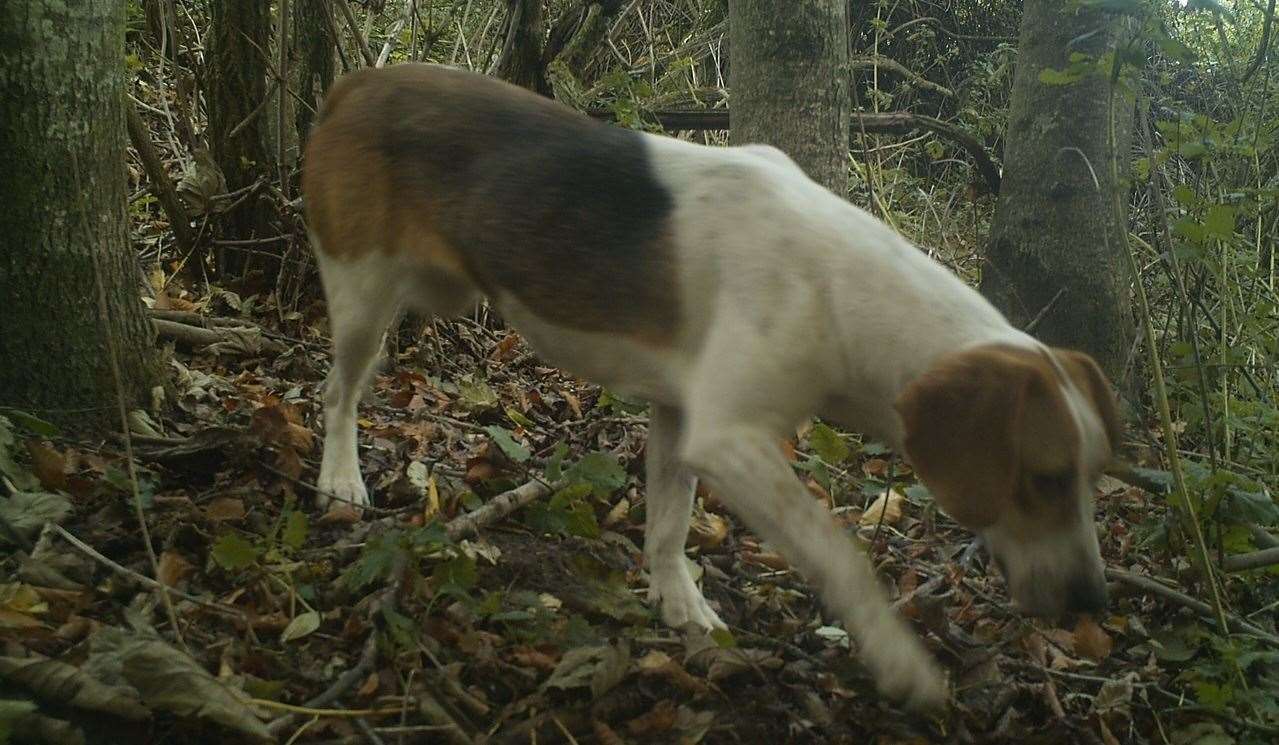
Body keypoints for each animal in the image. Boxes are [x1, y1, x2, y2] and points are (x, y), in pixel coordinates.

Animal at [299, 64, 1120, 711]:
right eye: (1044, 479)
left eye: (1090, 477)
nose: (1093, 603)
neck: (842, 289)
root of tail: (355, 83)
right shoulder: (728, 437)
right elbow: (837, 553)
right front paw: (900, 663)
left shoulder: (679, 414)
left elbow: (668, 522)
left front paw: (678, 603)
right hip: (363, 295)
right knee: (336, 394)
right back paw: (340, 480)